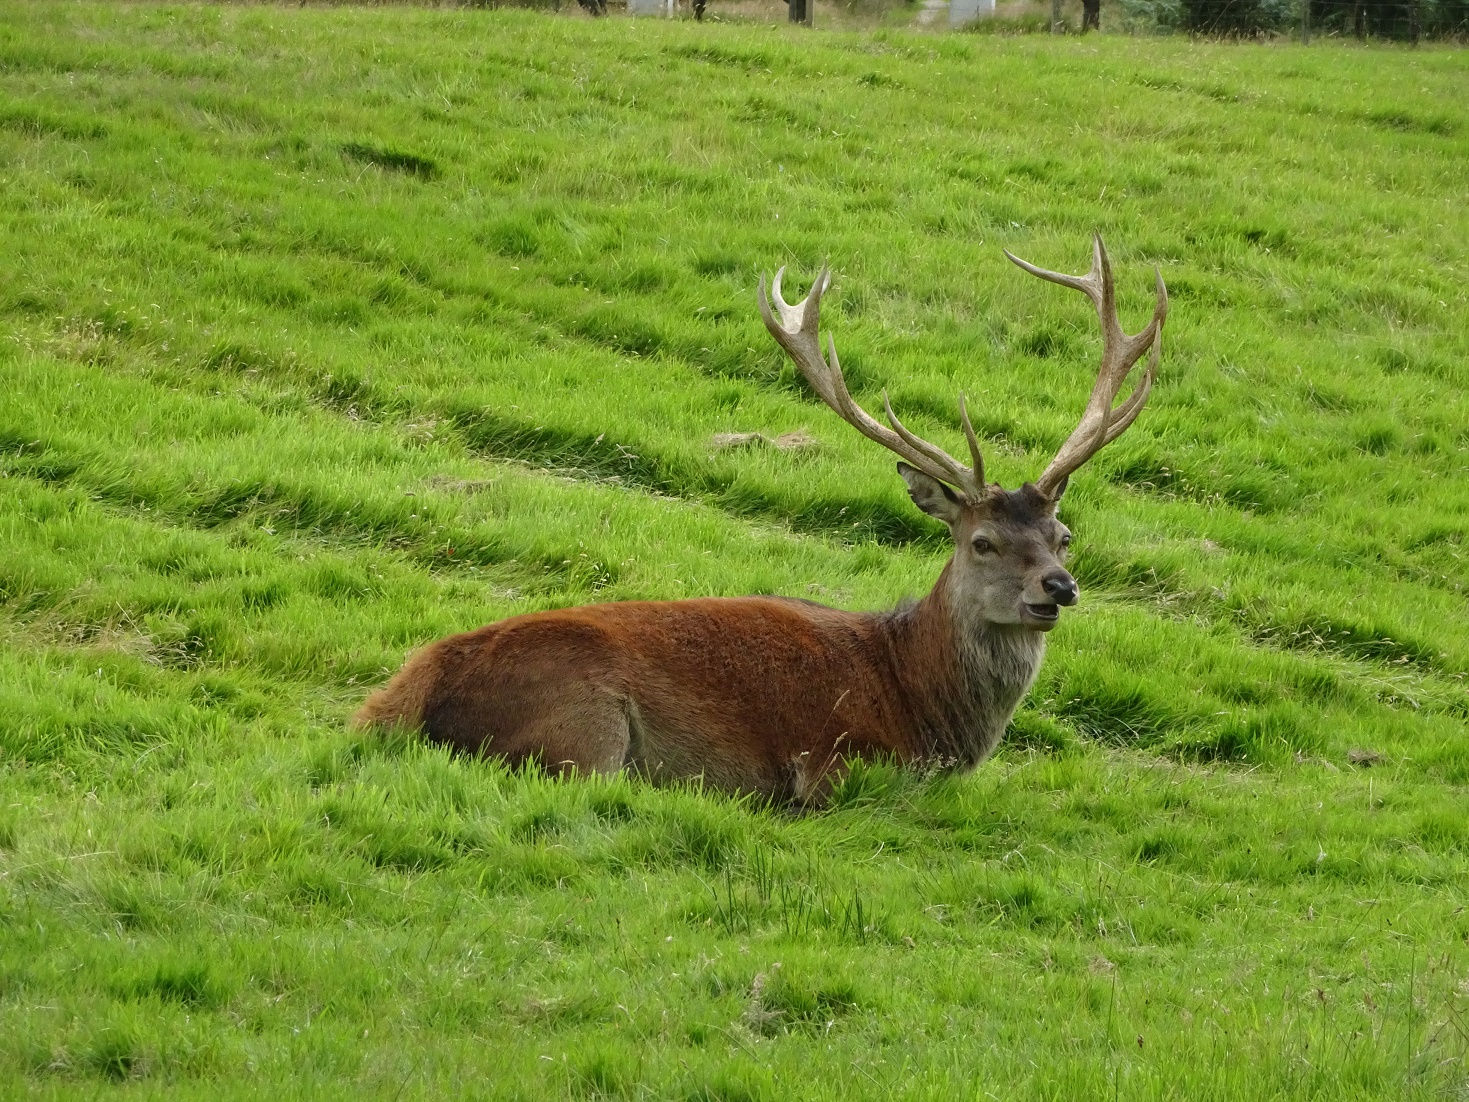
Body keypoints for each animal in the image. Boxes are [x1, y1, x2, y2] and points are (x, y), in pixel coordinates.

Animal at [358, 235, 1169, 805]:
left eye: (1064, 536)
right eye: (982, 542)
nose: (1057, 587)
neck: (920, 705)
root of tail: (394, 702)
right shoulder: (838, 762)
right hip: (584, 727)